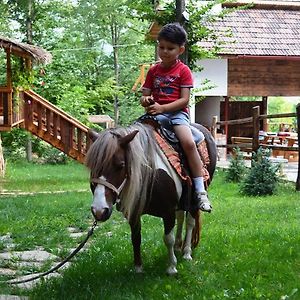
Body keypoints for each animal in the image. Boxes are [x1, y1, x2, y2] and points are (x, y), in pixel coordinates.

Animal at [85, 122, 216, 274]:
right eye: (91, 166)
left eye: (121, 165)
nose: (99, 211)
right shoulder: (134, 213)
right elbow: (136, 237)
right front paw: (138, 268)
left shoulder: (168, 212)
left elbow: (168, 238)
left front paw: (172, 267)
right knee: (181, 217)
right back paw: (178, 246)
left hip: (194, 199)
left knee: (190, 222)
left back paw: (186, 252)